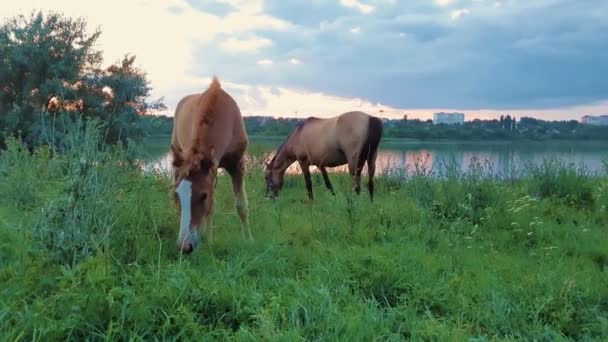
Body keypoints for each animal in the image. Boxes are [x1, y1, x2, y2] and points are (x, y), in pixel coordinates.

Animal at [170, 77, 253, 254]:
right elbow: (212, 208)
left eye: (203, 195)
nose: (184, 246)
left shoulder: (237, 164)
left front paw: (249, 240)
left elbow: (241, 206)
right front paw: (209, 242)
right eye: (177, 194)